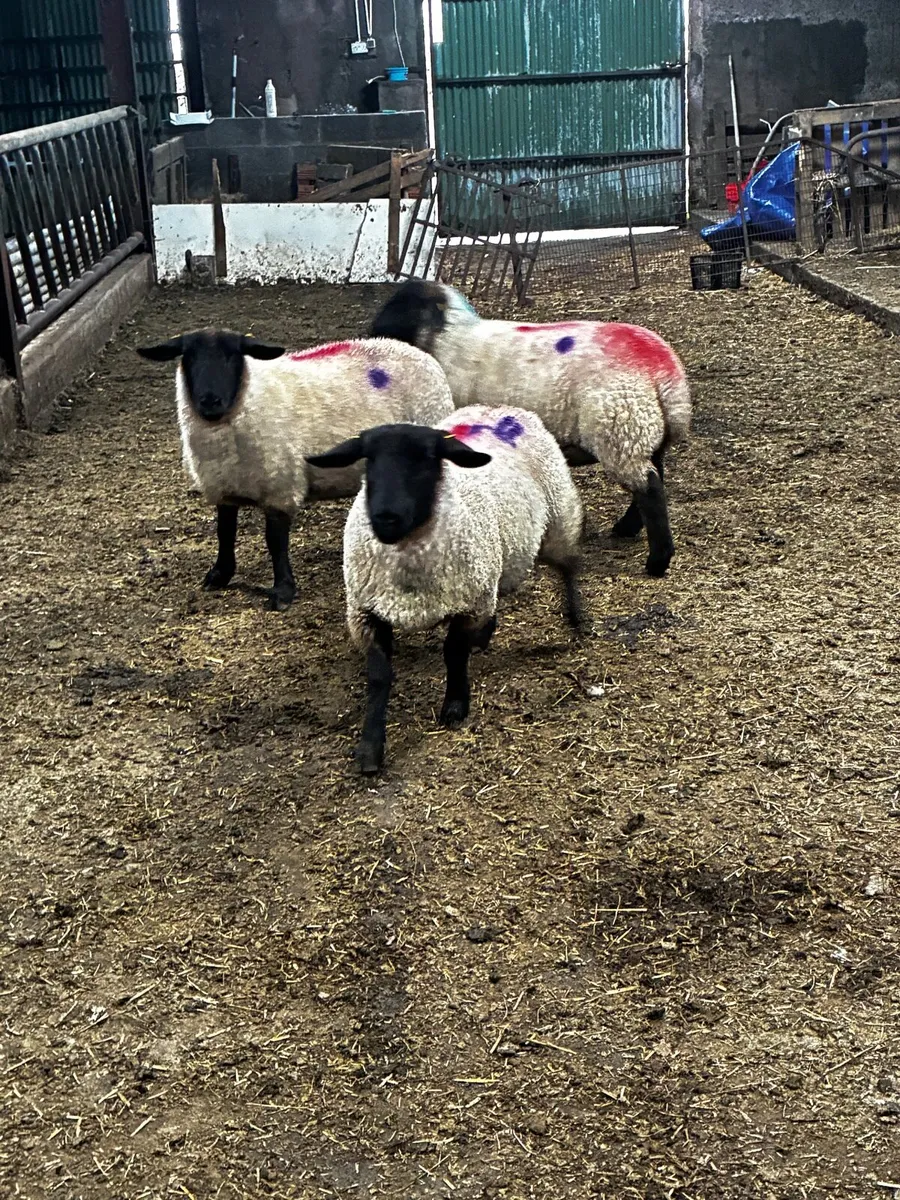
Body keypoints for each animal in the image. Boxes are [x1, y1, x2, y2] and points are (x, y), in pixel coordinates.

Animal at [136, 329, 455, 610]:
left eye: (234, 356)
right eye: (188, 357)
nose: (210, 401)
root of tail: (409, 348)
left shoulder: (280, 486)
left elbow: (275, 541)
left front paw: (282, 591)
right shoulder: (224, 487)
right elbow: (224, 532)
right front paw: (219, 574)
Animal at [306, 404, 585, 774]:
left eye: (427, 458)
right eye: (369, 460)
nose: (385, 517)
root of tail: (500, 408)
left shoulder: (467, 604)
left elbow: (453, 653)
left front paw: (455, 705)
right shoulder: (367, 613)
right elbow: (379, 678)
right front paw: (370, 749)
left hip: (558, 521)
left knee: (568, 566)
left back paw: (577, 618)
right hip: (495, 561)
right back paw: (485, 635)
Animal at [370, 280, 691, 578]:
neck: (444, 338)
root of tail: (663, 370)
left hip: (621, 431)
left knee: (650, 489)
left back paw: (658, 560)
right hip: (643, 432)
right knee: (653, 480)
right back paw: (627, 528)